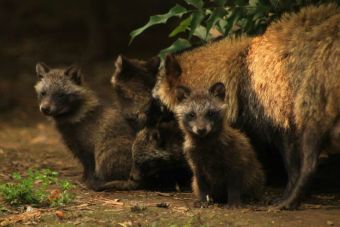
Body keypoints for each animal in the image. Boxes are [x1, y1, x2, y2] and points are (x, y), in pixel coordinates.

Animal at [33, 63, 133, 191]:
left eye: (60, 95)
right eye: (43, 93)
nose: (45, 109)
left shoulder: (88, 147)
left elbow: (90, 168)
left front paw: (87, 182)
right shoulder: (76, 147)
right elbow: (85, 168)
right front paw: (82, 179)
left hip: (105, 151)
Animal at [155, 3, 340, 209]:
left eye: (160, 106)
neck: (241, 62)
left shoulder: (276, 108)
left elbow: (292, 163)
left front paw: (290, 191)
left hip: (315, 89)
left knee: (310, 153)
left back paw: (292, 196)